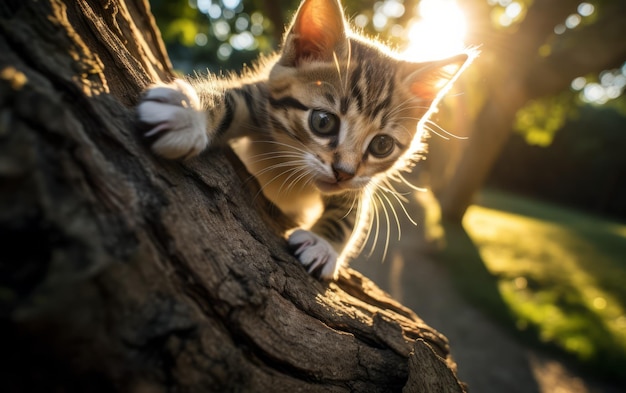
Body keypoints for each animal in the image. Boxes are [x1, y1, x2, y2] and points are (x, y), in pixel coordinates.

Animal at [135, 0, 468, 278]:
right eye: (323, 122)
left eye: (381, 145)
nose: (343, 173)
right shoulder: (259, 99)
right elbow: (230, 100)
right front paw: (188, 111)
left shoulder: (360, 181)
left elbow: (351, 210)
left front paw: (324, 244)